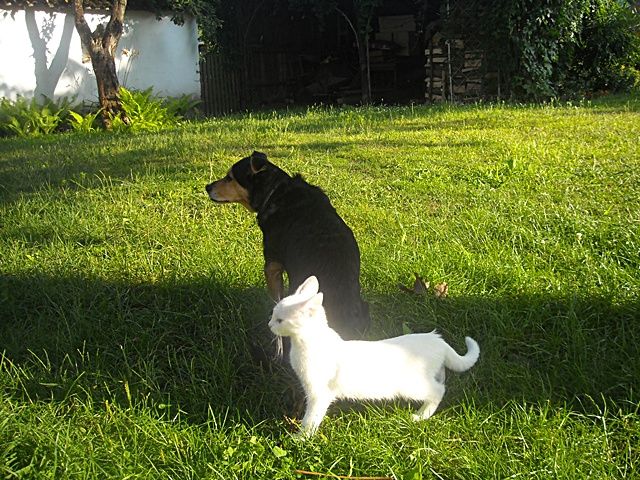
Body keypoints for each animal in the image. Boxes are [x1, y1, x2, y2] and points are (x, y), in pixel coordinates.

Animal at [269, 275, 480, 436]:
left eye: (280, 320)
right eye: (273, 315)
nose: (269, 325)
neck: (305, 344)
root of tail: (436, 339)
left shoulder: (319, 394)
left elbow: (311, 419)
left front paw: (301, 438)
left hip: (411, 386)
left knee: (438, 391)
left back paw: (421, 416)